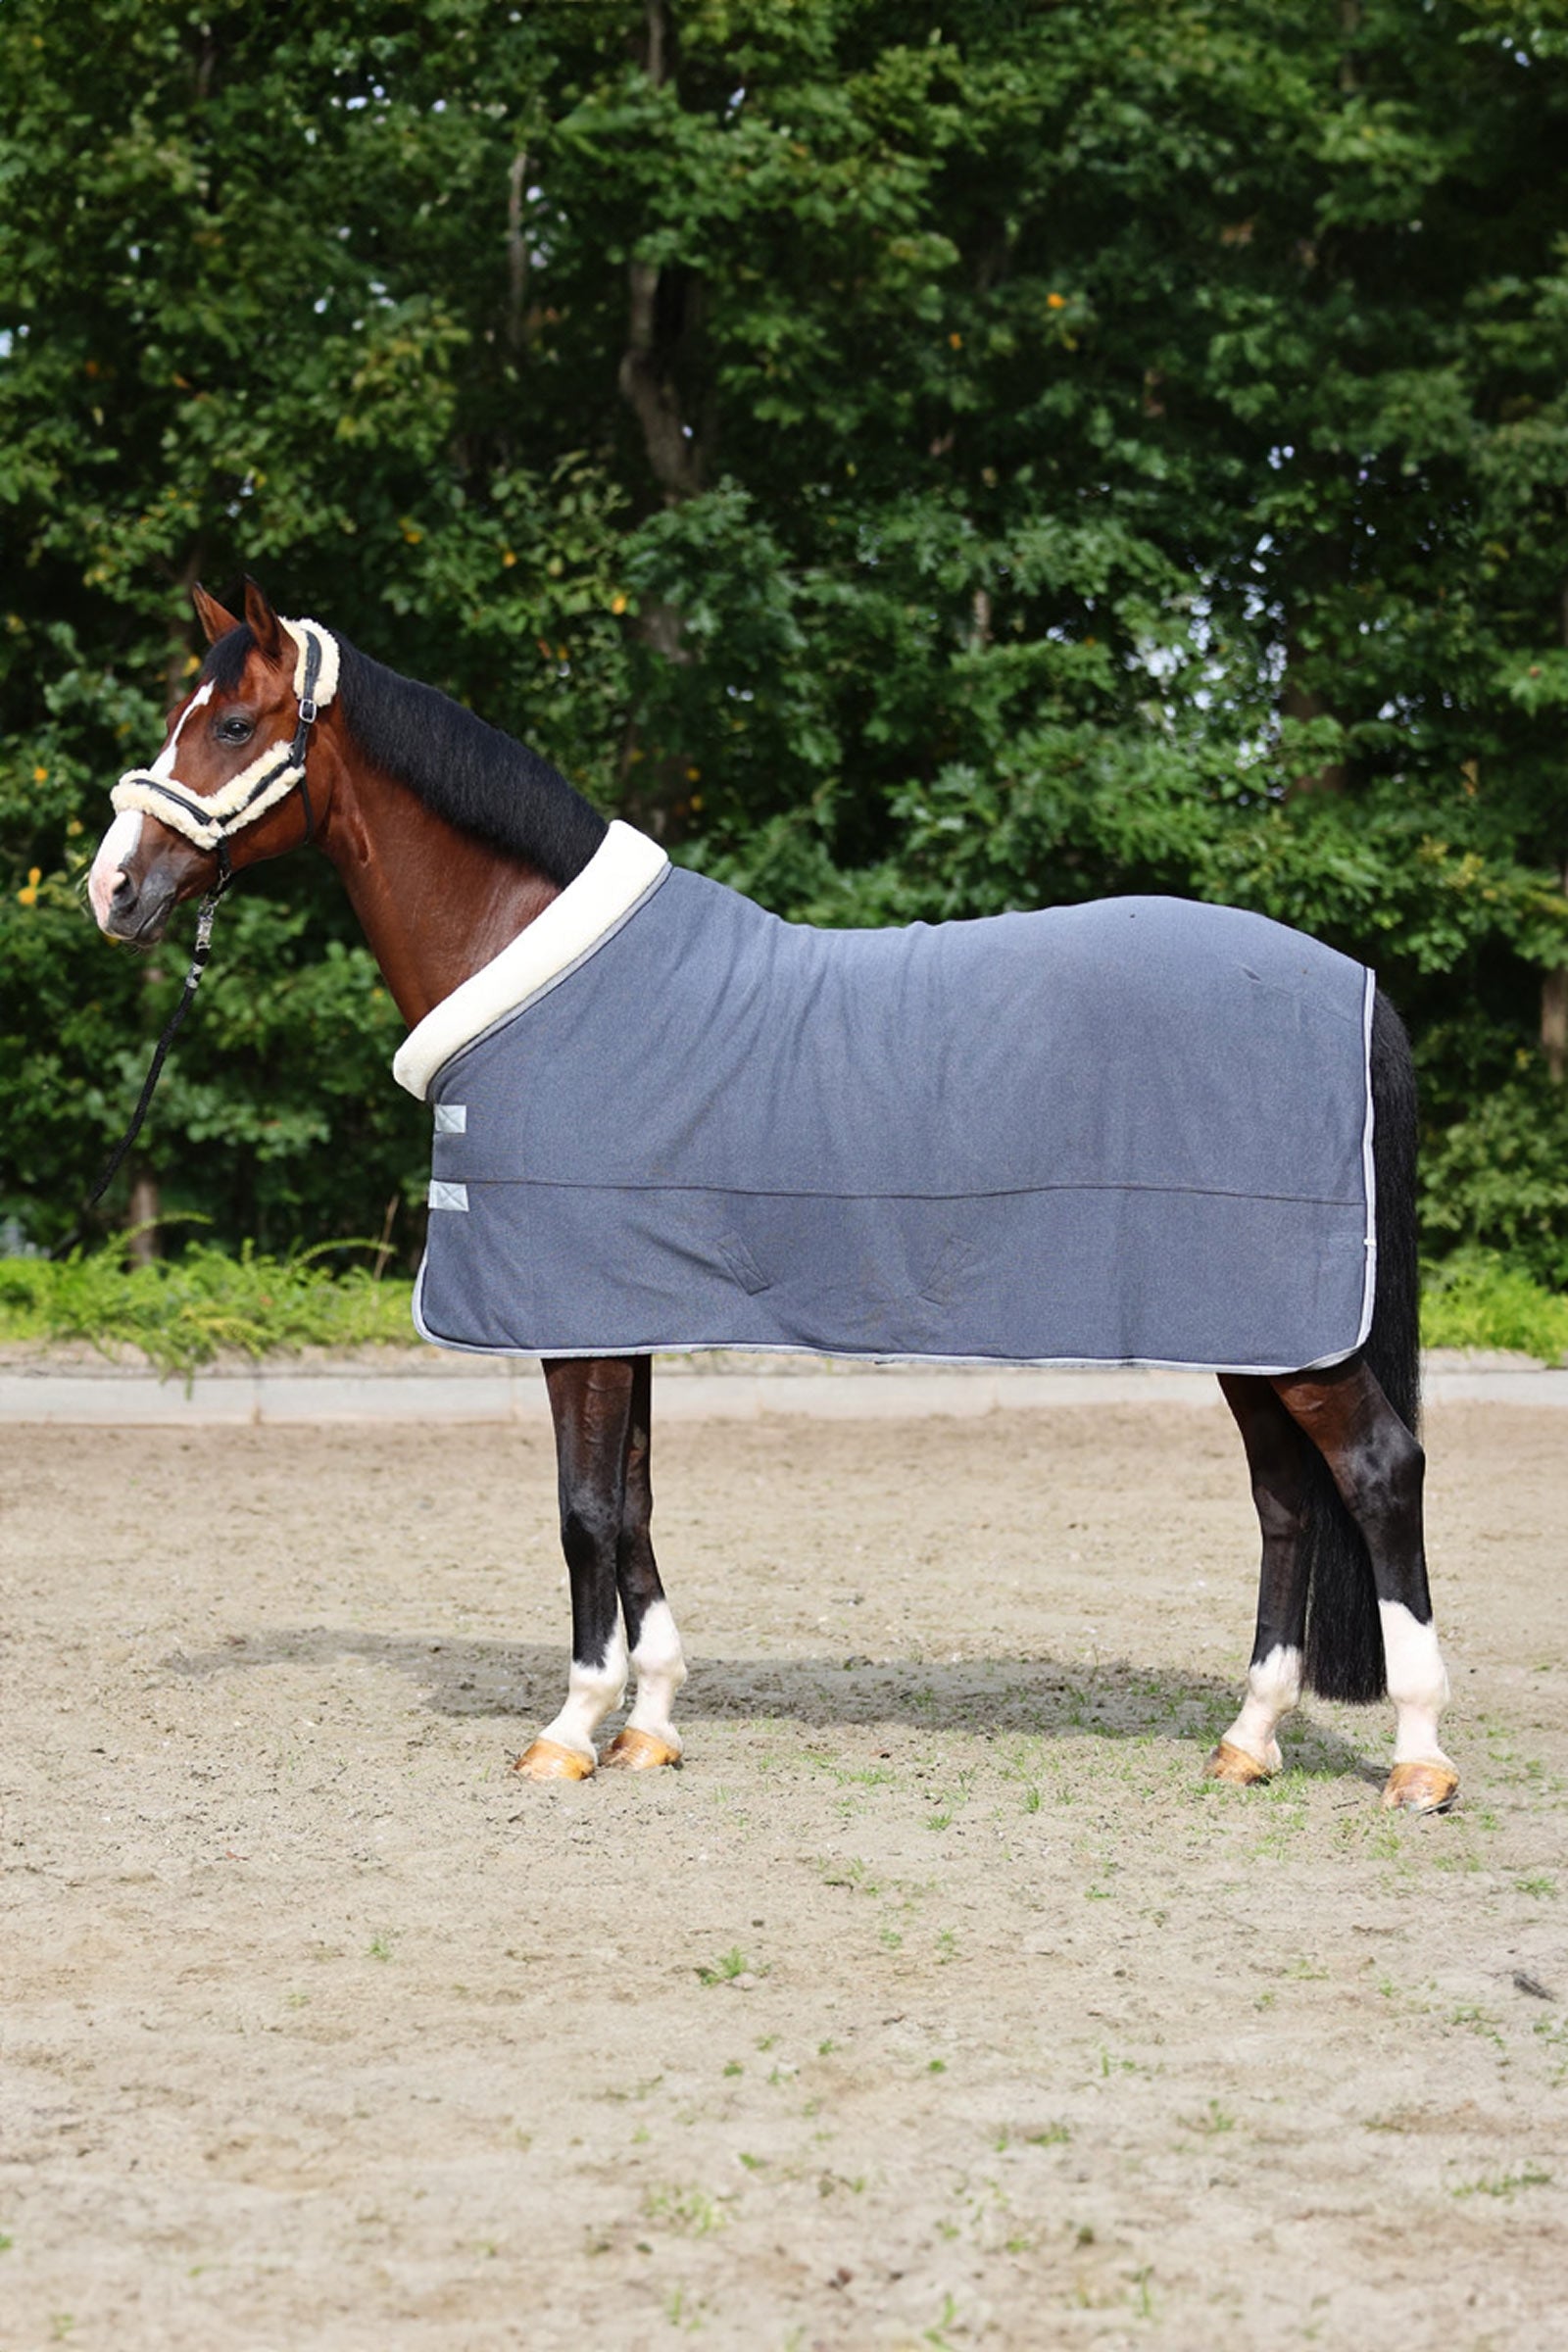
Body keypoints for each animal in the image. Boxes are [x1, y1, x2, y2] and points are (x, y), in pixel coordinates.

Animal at [86, 580, 1458, 1812]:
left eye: (229, 725)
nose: (111, 890)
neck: (538, 969)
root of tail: (1353, 981)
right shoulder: (617, 1310)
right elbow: (634, 1504)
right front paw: (650, 1726)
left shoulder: (574, 1318)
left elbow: (585, 1513)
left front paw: (570, 1731)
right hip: (1255, 1333)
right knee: (1287, 1503)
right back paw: (1248, 1740)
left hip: (1290, 1333)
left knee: (1378, 1471)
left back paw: (1418, 1760)